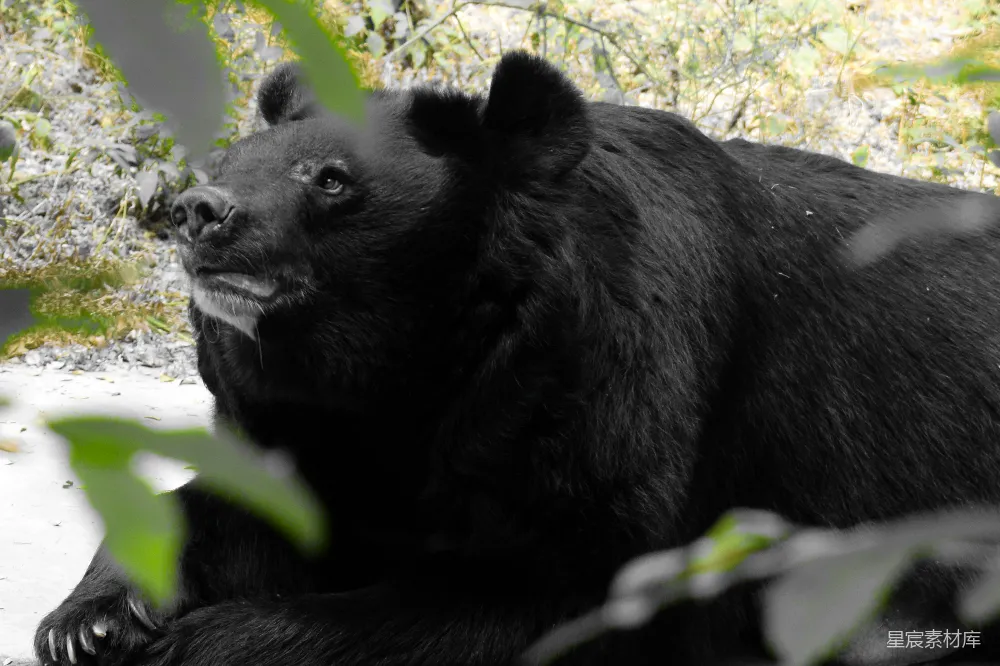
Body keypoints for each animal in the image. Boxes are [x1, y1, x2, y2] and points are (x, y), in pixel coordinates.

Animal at [34, 50, 1000, 666]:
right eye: (232, 159)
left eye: (332, 181)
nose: (196, 212)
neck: (404, 360)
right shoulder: (320, 426)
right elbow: (255, 505)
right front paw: (90, 623)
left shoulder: (600, 399)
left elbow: (538, 594)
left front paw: (191, 645)